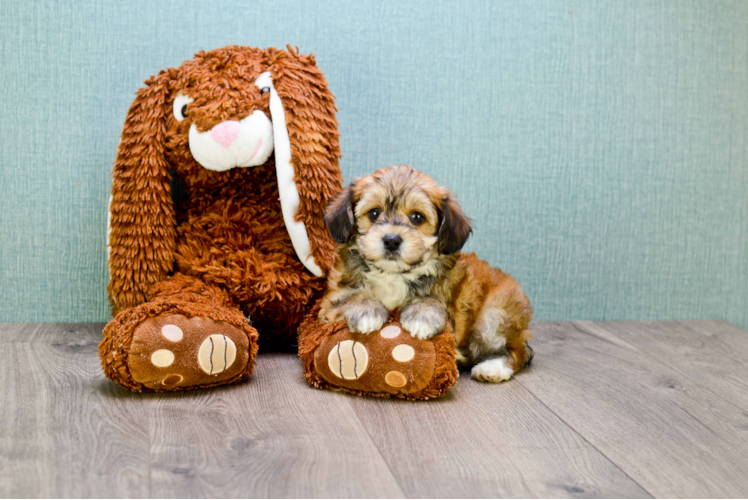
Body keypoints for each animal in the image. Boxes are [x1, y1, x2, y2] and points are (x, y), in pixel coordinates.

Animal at [318, 165, 536, 382]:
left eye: (417, 217)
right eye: (374, 213)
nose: (391, 240)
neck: (394, 274)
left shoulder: (452, 302)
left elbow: (432, 300)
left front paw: (421, 317)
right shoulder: (330, 300)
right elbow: (350, 296)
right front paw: (367, 311)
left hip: (496, 313)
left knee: (518, 352)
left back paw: (492, 368)